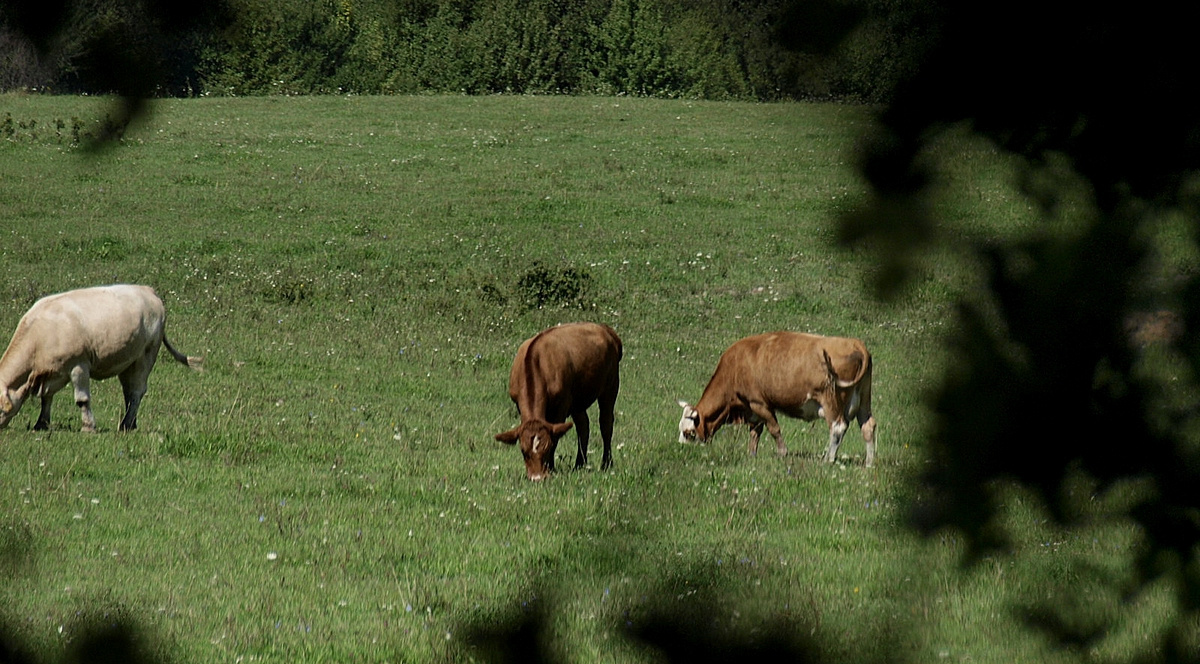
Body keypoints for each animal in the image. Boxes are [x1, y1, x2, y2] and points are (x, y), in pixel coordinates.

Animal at [0, 283, 202, 429]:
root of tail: (147, 290)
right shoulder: (52, 372)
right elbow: (46, 398)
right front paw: (41, 424)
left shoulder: (78, 365)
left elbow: (82, 400)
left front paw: (88, 426)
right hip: (127, 361)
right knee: (129, 392)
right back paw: (131, 422)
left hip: (146, 356)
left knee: (137, 391)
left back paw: (126, 424)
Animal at [496, 321, 628, 482]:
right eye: (523, 451)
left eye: (547, 448)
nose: (537, 477)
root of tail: (605, 329)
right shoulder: (519, 404)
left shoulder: (562, 405)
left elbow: (556, 436)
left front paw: (551, 468)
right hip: (578, 399)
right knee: (583, 425)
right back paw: (579, 464)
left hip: (610, 385)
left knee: (606, 423)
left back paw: (606, 463)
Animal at [681, 331, 878, 465]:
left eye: (689, 433)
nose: (683, 450)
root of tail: (855, 344)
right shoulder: (752, 408)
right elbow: (755, 431)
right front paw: (752, 454)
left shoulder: (759, 403)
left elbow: (773, 428)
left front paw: (782, 452)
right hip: (864, 399)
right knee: (868, 426)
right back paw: (869, 463)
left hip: (831, 401)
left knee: (838, 427)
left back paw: (828, 459)